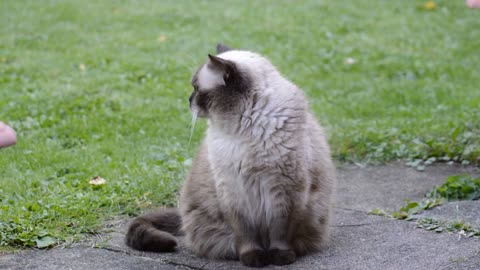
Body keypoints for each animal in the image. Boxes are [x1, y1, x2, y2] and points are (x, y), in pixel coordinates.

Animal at [127, 44, 338, 268]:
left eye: (196, 89)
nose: (188, 100)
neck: (243, 129)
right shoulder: (234, 192)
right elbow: (245, 234)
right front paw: (253, 259)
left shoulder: (285, 190)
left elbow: (280, 231)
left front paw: (280, 258)